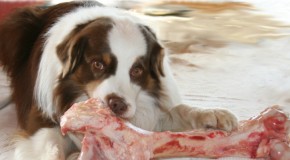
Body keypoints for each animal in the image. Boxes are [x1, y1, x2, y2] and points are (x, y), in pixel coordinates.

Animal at [0, 1, 238, 160]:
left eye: (137, 70)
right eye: (98, 64)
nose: (117, 105)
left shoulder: (149, 112)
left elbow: (179, 110)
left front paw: (214, 115)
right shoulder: (41, 122)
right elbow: (50, 147)